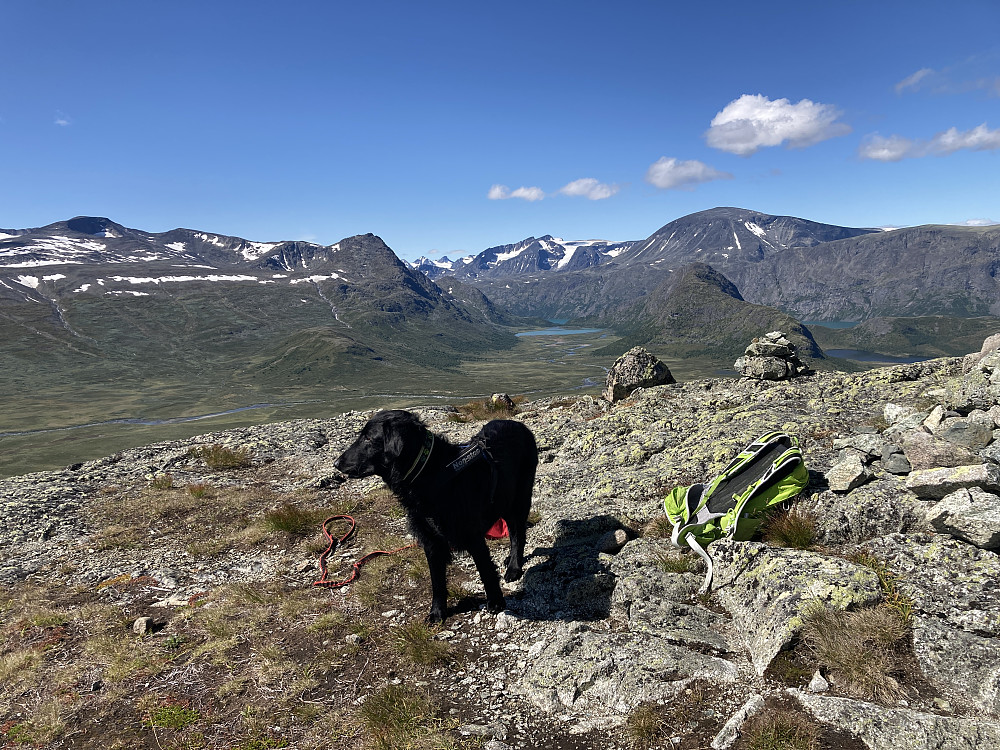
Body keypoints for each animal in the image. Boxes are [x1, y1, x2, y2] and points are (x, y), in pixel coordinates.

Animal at [334, 412, 540, 624]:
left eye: (368, 438)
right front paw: (437, 612)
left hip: (518, 499)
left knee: (517, 534)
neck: (431, 474)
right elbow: (437, 581)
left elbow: (486, 570)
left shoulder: (472, 536)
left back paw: (514, 567)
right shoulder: (430, 540)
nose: (337, 464)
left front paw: (496, 602)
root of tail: (520, 425)